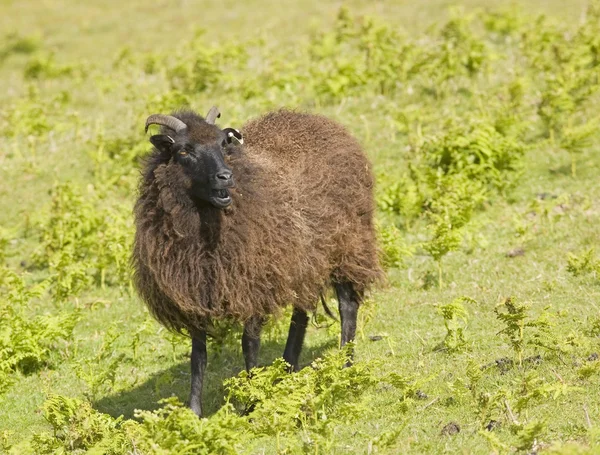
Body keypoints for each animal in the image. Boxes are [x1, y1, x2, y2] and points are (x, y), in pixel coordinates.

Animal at [134, 106, 382, 416]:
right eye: (184, 150)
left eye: (223, 144)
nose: (225, 176)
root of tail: (321, 120)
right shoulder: (195, 294)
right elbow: (198, 355)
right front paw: (194, 412)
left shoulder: (252, 283)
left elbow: (249, 344)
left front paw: (251, 403)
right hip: (302, 258)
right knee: (301, 313)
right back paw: (288, 368)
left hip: (347, 244)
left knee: (347, 306)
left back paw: (345, 366)